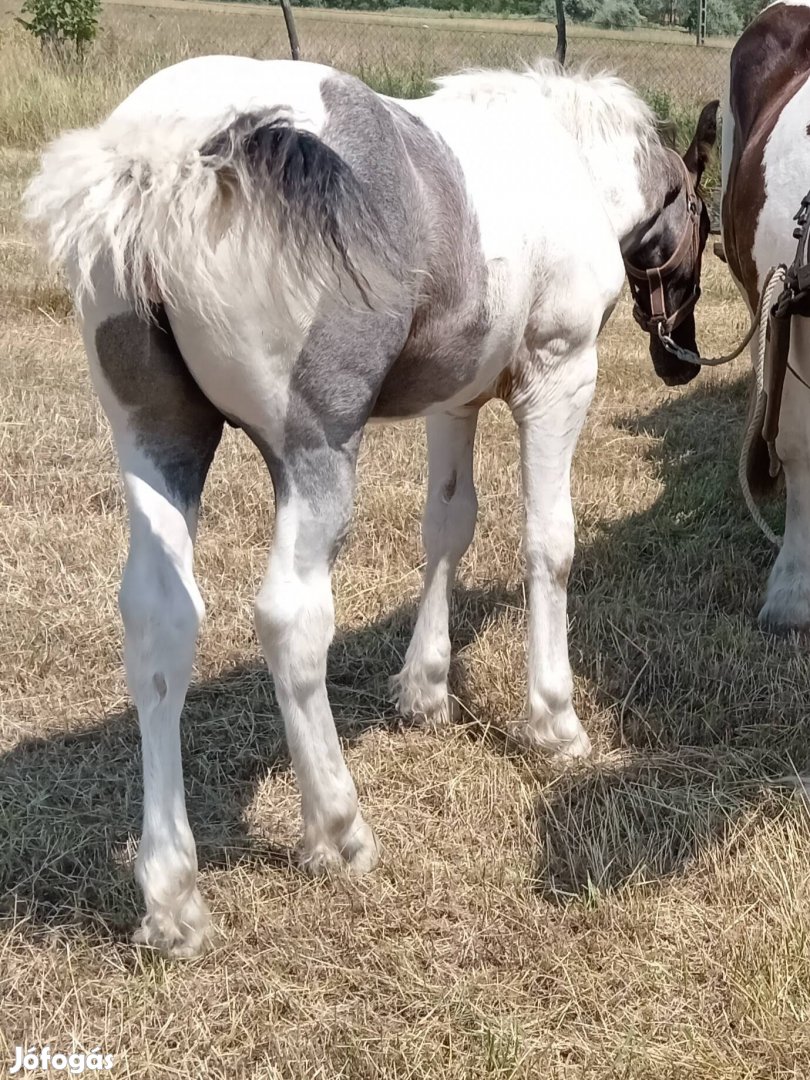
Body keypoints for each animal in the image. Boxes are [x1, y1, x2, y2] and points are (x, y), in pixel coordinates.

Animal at [27, 59, 717, 954]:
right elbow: (548, 542)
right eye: (702, 220)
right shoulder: (560, 373)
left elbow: (449, 525)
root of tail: (162, 157)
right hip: (315, 448)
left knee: (159, 620)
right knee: (290, 618)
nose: (682, 360)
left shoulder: (457, 398)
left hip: (156, 439)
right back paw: (337, 829)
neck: (569, 161)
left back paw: (173, 899)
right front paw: (555, 721)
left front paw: (424, 690)